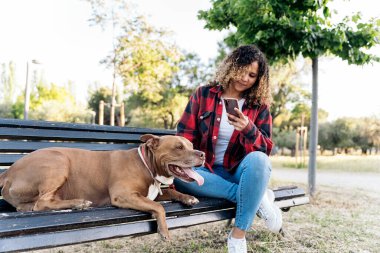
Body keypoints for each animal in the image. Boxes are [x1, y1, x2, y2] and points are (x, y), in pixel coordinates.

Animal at [0, 134, 205, 239]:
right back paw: (79, 203)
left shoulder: (152, 192)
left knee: (31, 205)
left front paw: (188, 197)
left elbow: (170, 192)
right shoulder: (124, 195)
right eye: (178, 147)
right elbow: (158, 206)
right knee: (41, 203)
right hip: (58, 161)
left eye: (191, 145)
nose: (202, 153)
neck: (146, 164)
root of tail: (7, 172)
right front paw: (164, 231)